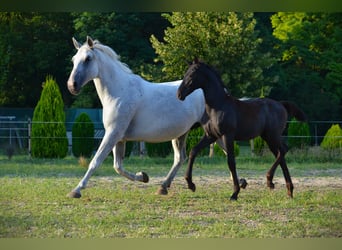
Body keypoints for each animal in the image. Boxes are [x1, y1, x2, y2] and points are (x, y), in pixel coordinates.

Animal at [66, 36, 206, 198]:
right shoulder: (119, 138)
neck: (119, 92)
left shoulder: (113, 133)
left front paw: (76, 190)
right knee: (179, 158)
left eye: (88, 58)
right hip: (181, 134)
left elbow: (95, 162)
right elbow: (118, 167)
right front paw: (143, 176)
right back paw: (163, 187)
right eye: (73, 59)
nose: (72, 86)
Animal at [178, 59, 306, 201]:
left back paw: (270, 180)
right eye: (185, 73)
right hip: (268, 137)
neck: (218, 105)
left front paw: (235, 193)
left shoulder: (228, 135)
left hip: (272, 135)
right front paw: (191, 184)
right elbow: (193, 151)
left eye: (192, 74)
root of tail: (281, 104)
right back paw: (288, 190)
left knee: (284, 149)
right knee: (281, 155)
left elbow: (231, 161)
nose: (179, 94)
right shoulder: (211, 135)